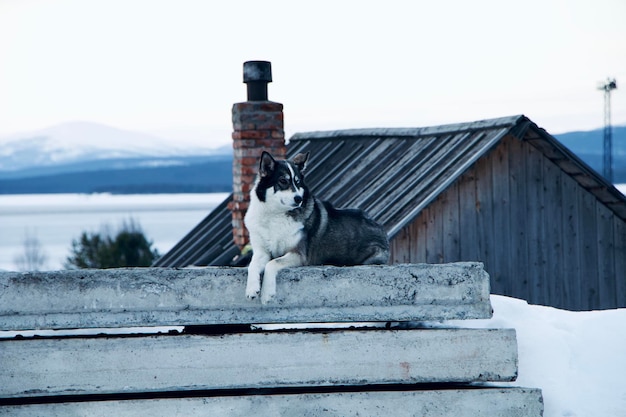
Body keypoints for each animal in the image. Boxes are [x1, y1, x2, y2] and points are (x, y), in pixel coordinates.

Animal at [243, 150, 386, 302]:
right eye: (283, 181)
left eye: (298, 182)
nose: (298, 199)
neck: (275, 215)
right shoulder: (262, 252)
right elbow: (252, 266)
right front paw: (252, 289)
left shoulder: (299, 254)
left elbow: (272, 263)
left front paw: (266, 293)